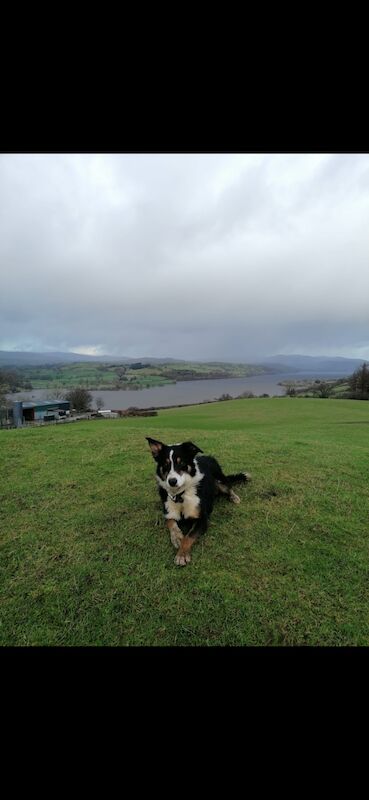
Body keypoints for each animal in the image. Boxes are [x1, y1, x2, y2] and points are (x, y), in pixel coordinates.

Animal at [146, 438, 250, 568]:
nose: (172, 481)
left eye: (181, 463)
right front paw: (177, 537)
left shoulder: (202, 519)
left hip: (219, 480)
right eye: (165, 464)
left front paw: (182, 555)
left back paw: (234, 497)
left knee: (229, 486)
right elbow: (170, 523)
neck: (181, 495)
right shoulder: (168, 512)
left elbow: (188, 537)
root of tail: (207, 457)